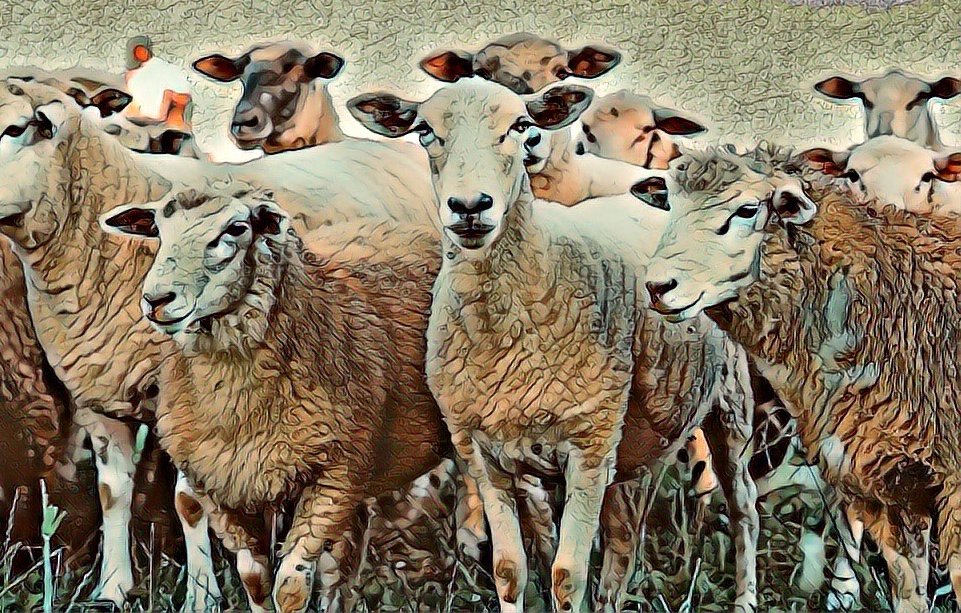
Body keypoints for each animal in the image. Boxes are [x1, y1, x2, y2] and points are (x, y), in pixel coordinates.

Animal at [99, 187, 458, 613]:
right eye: (157, 229)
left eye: (236, 228)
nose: (156, 299)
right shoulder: (222, 485)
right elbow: (254, 579)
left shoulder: (334, 476)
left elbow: (290, 586)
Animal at [348, 78, 759, 613]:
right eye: (424, 131)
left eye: (521, 125)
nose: (469, 207)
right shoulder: (483, 452)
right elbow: (509, 570)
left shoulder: (588, 446)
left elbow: (566, 576)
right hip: (638, 439)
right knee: (624, 542)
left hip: (729, 399)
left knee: (744, 503)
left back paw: (746, 596)